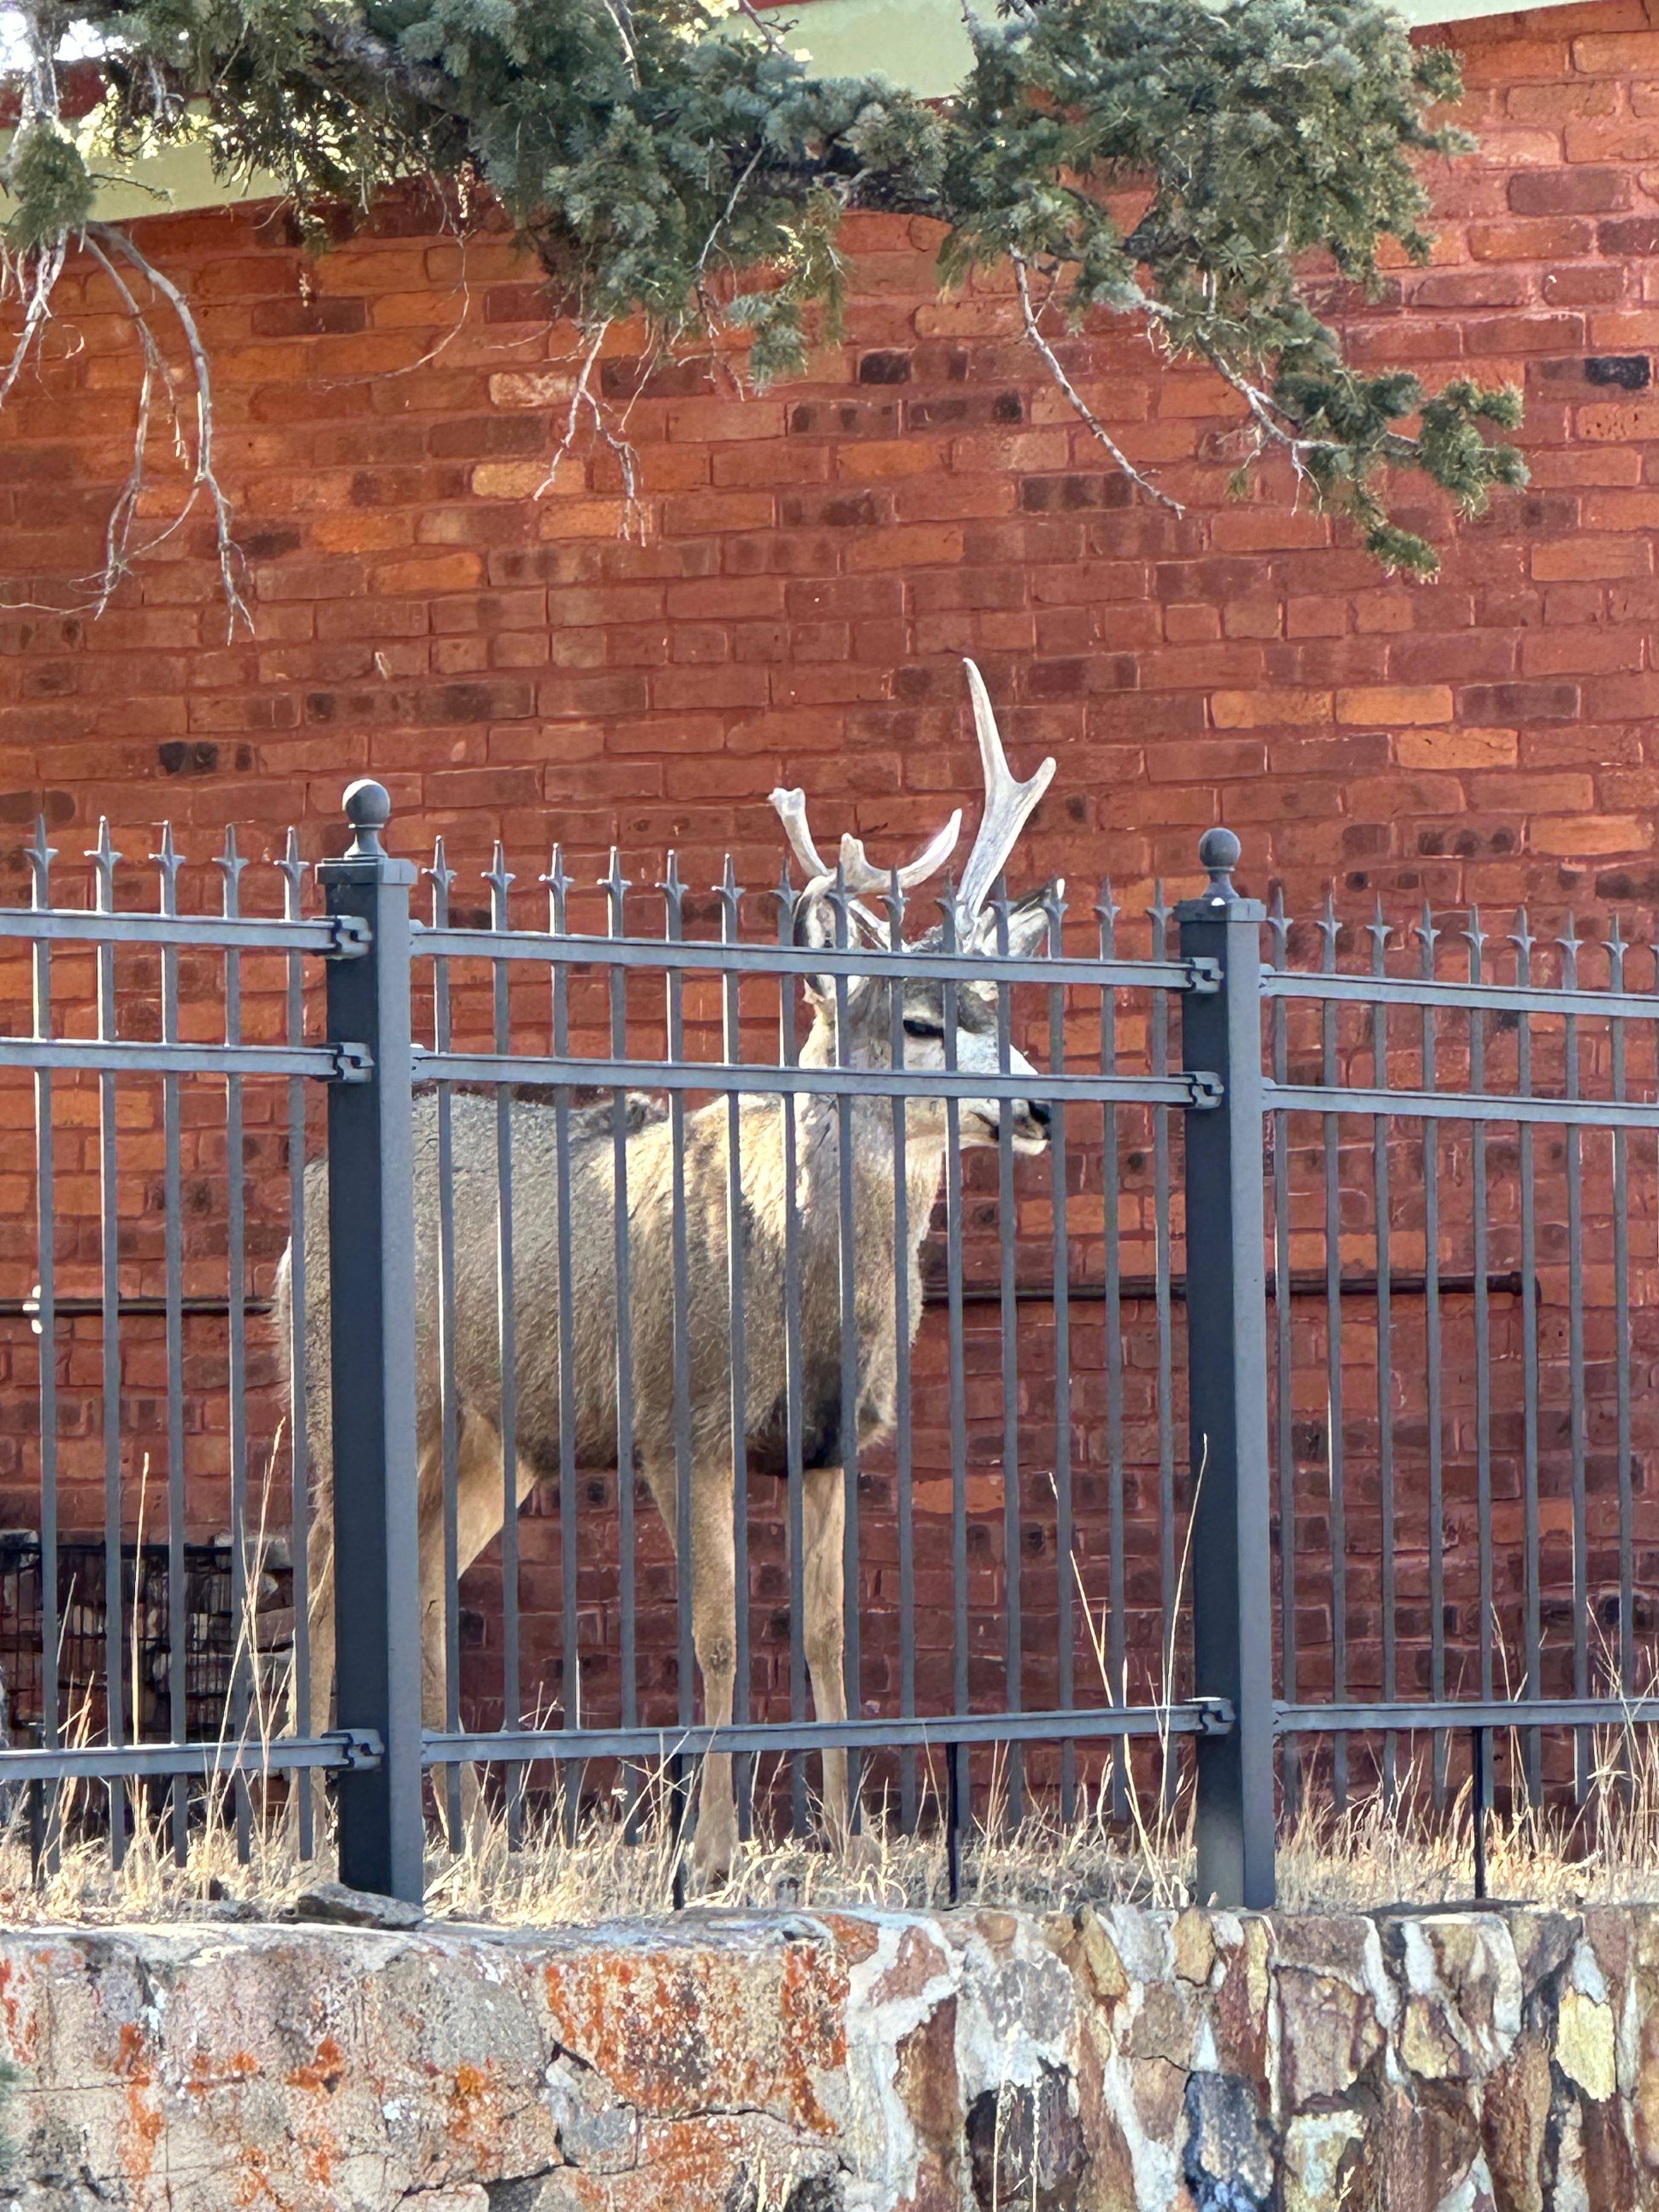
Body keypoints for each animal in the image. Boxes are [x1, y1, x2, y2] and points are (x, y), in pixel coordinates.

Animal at [280, 660, 1059, 1880]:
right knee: (314, 1585)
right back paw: (305, 1845)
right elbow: (720, 1633)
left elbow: (827, 1636)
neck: (798, 1277)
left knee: (417, 1586)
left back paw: (475, 1842)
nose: (1033, 1109)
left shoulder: (830, 1441)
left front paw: (847, 1842)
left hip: (493, 1441)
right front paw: (709, 1853)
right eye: (921, 1025)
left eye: (1000, 1007)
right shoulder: (676, 1419)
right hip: (343, 1397)